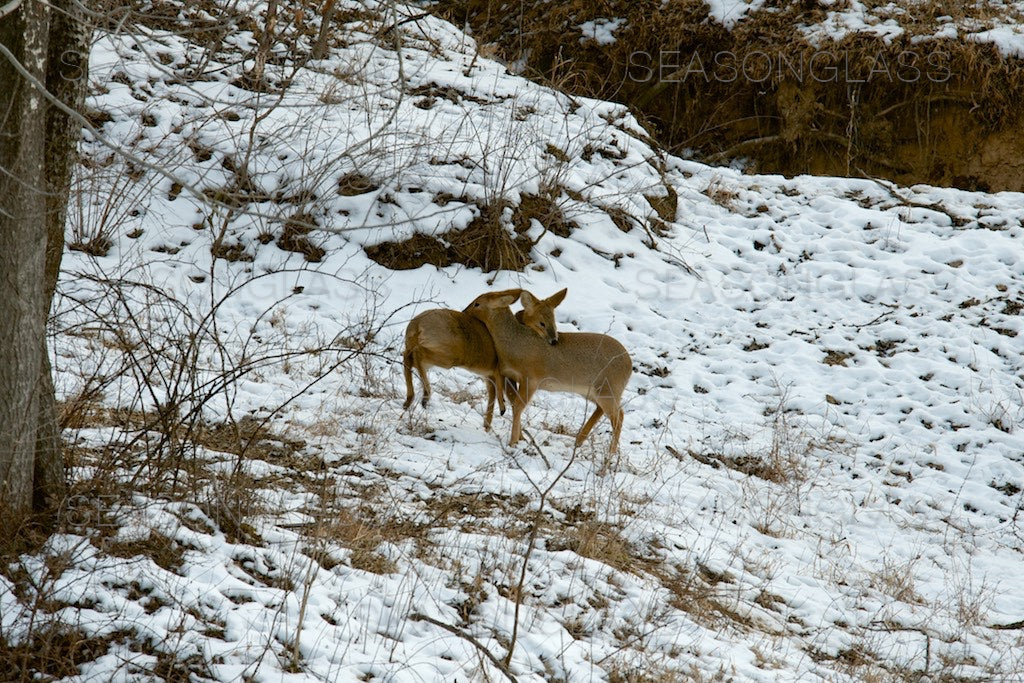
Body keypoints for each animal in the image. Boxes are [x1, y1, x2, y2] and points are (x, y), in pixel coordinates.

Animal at [466, 288, 630, 454]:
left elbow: (518, 406)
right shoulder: (508, 374)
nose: (465, 311)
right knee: (603, 410)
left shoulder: (531, 380)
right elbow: (510, 401)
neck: (515, 343)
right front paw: (519, 438)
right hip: (593, 392)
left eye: (477, 303)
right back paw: (579, 441)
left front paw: (513, 442)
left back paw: (610, 453)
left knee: (619, 417)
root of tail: (629, 364)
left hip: (608, 390)